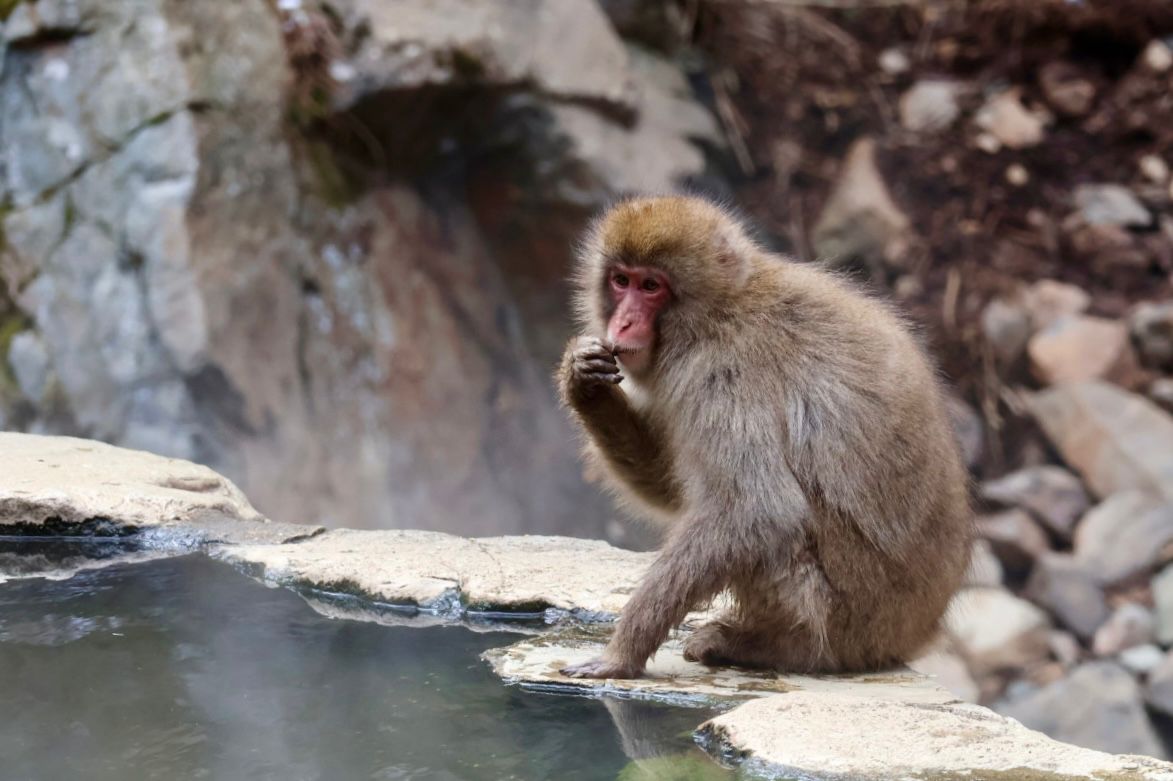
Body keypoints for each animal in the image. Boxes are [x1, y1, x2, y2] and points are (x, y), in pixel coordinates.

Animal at [556, 195, 971, 679]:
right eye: (621, 280)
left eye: (651, 286)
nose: (621, 324)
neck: (720, 307)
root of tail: (916, 632)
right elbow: (670, 486)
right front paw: (584, 381)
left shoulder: (724, 372)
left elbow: (758, 511)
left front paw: (620, 655)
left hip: (845, 624)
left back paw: (773, 648)